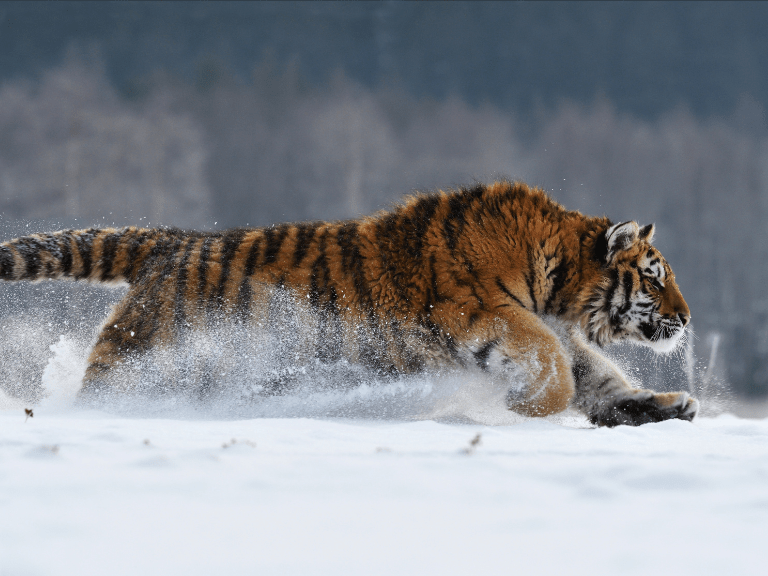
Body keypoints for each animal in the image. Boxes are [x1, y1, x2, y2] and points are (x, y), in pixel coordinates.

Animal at [0, 182, 696, 426]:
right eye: (655, 276)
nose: (688, 319)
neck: (559, 282)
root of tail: (171, 242)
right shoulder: (481, 313)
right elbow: (553, 364)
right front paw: (529, 406)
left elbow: (600, 377)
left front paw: (667, 405)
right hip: (146, 355)